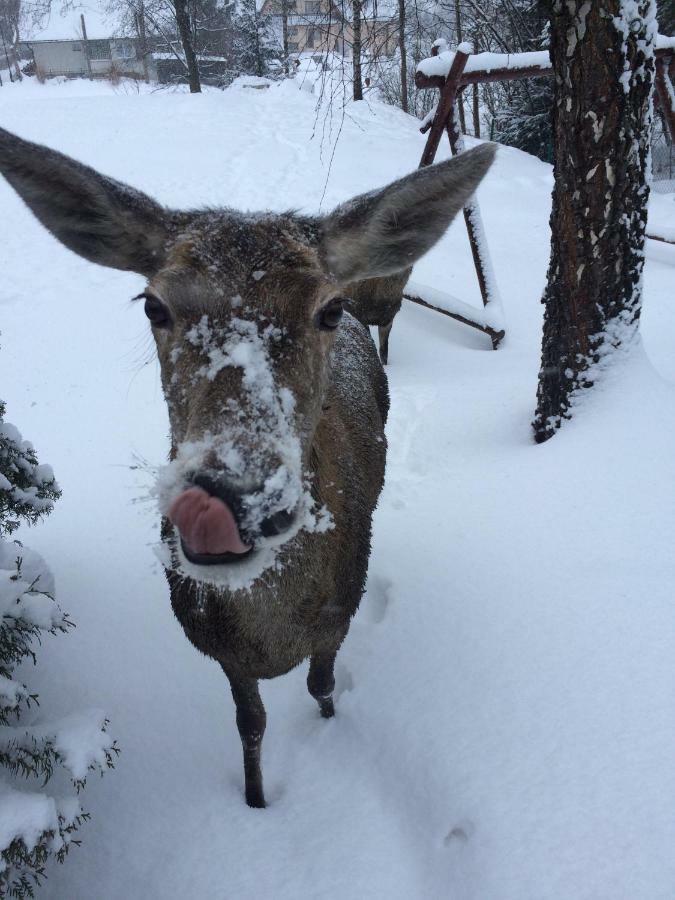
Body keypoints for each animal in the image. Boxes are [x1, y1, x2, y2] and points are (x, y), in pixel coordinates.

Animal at [0, 126, 496, 808]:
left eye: (328, 310)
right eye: (152, 305)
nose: (229, 496)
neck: (273, 635)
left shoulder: (340, 613)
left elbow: (321, 687)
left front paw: (331, 734)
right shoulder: (218, 649)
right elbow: (250, 724)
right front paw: (256, 801)